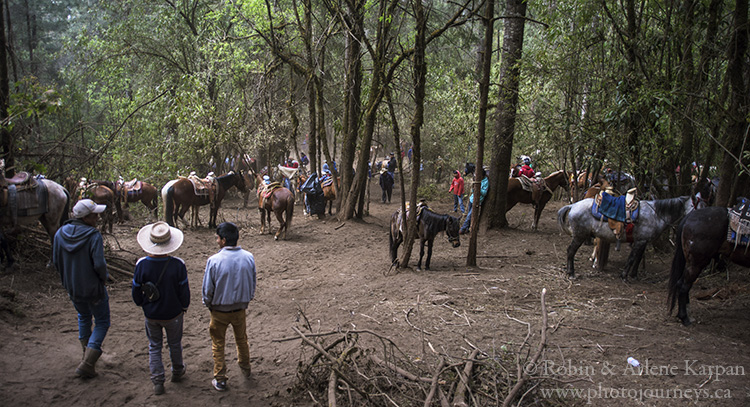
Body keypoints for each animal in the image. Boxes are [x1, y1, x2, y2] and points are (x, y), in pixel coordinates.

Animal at [560, 197, 696, 280]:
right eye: (695, 205)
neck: (655, 214)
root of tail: (573, 205)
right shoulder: (640, 241)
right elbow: (631, 258)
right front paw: (624, 275)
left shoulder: (643, 241)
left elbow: (638, 258)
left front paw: (634, 275)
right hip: (579, 236)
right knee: (570, 251)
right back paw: (571, 273)